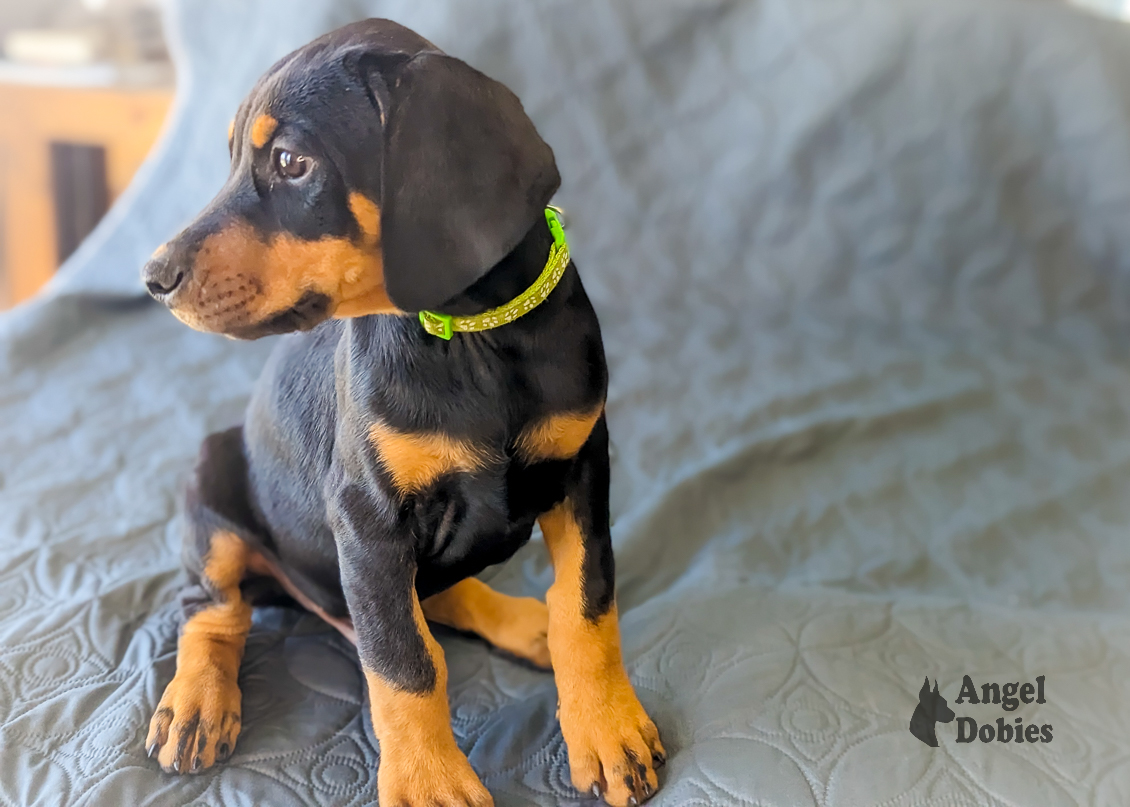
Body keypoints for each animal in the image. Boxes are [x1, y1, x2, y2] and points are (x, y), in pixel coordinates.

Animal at [140, 17, 659, 804]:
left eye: (290, 161)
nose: (154, 276)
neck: (471, 336)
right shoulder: (366, 518)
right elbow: (404, 663)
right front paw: (428, 781)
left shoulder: (583, 464)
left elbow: (587, 606)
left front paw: (606, 724)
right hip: (212, 478)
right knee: (212, 606)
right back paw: (196, 700)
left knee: (437, 598)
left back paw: (525, 622)